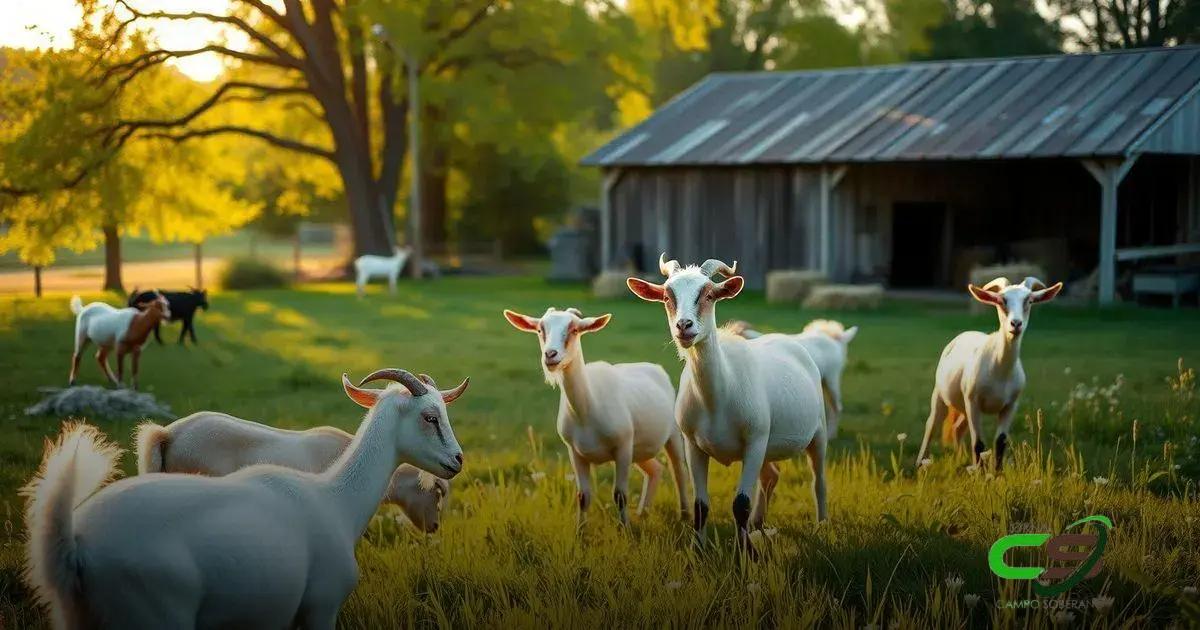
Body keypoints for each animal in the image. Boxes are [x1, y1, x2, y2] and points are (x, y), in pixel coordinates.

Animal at [504, 307, 689, 526]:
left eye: (574, 329)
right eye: (541, 329)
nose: (550, 355)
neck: (586, 410)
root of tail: (654, 368)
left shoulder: (623, 446)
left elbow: (620, 495)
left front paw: (625, 529)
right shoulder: (575, 452)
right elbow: (583, 496)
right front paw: (580, 531)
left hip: (671, 434)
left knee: (678, 471)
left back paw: (685, 515)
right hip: (640, 448)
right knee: (655, 469)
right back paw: (643, 513)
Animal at [628, 255, 828, 555]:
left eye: (709, 294)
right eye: (666, 296)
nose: (684, 326)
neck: (717, 398)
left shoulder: (755, 440)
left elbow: (740, 504)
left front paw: (745, 556)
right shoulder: (693, 445)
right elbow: (701, 506)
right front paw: (698, 553)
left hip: (816, 432)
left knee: (818, 480)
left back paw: (821, 525)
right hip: (767, 446)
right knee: (770, 475)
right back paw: (758, 523)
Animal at [914, 277, 1063, 471]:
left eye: (1029, 301)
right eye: (1001, 301)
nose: (1016, 324)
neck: (999, 370)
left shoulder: (1010, 405)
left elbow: (1000, 442)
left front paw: (996, 473)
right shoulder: (973, 401)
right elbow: (978, 444)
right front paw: (980, 474)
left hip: (963, 405)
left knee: (956, 428)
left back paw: (961, 460)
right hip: (941, 394)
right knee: (931, 425)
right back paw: (920, 463)